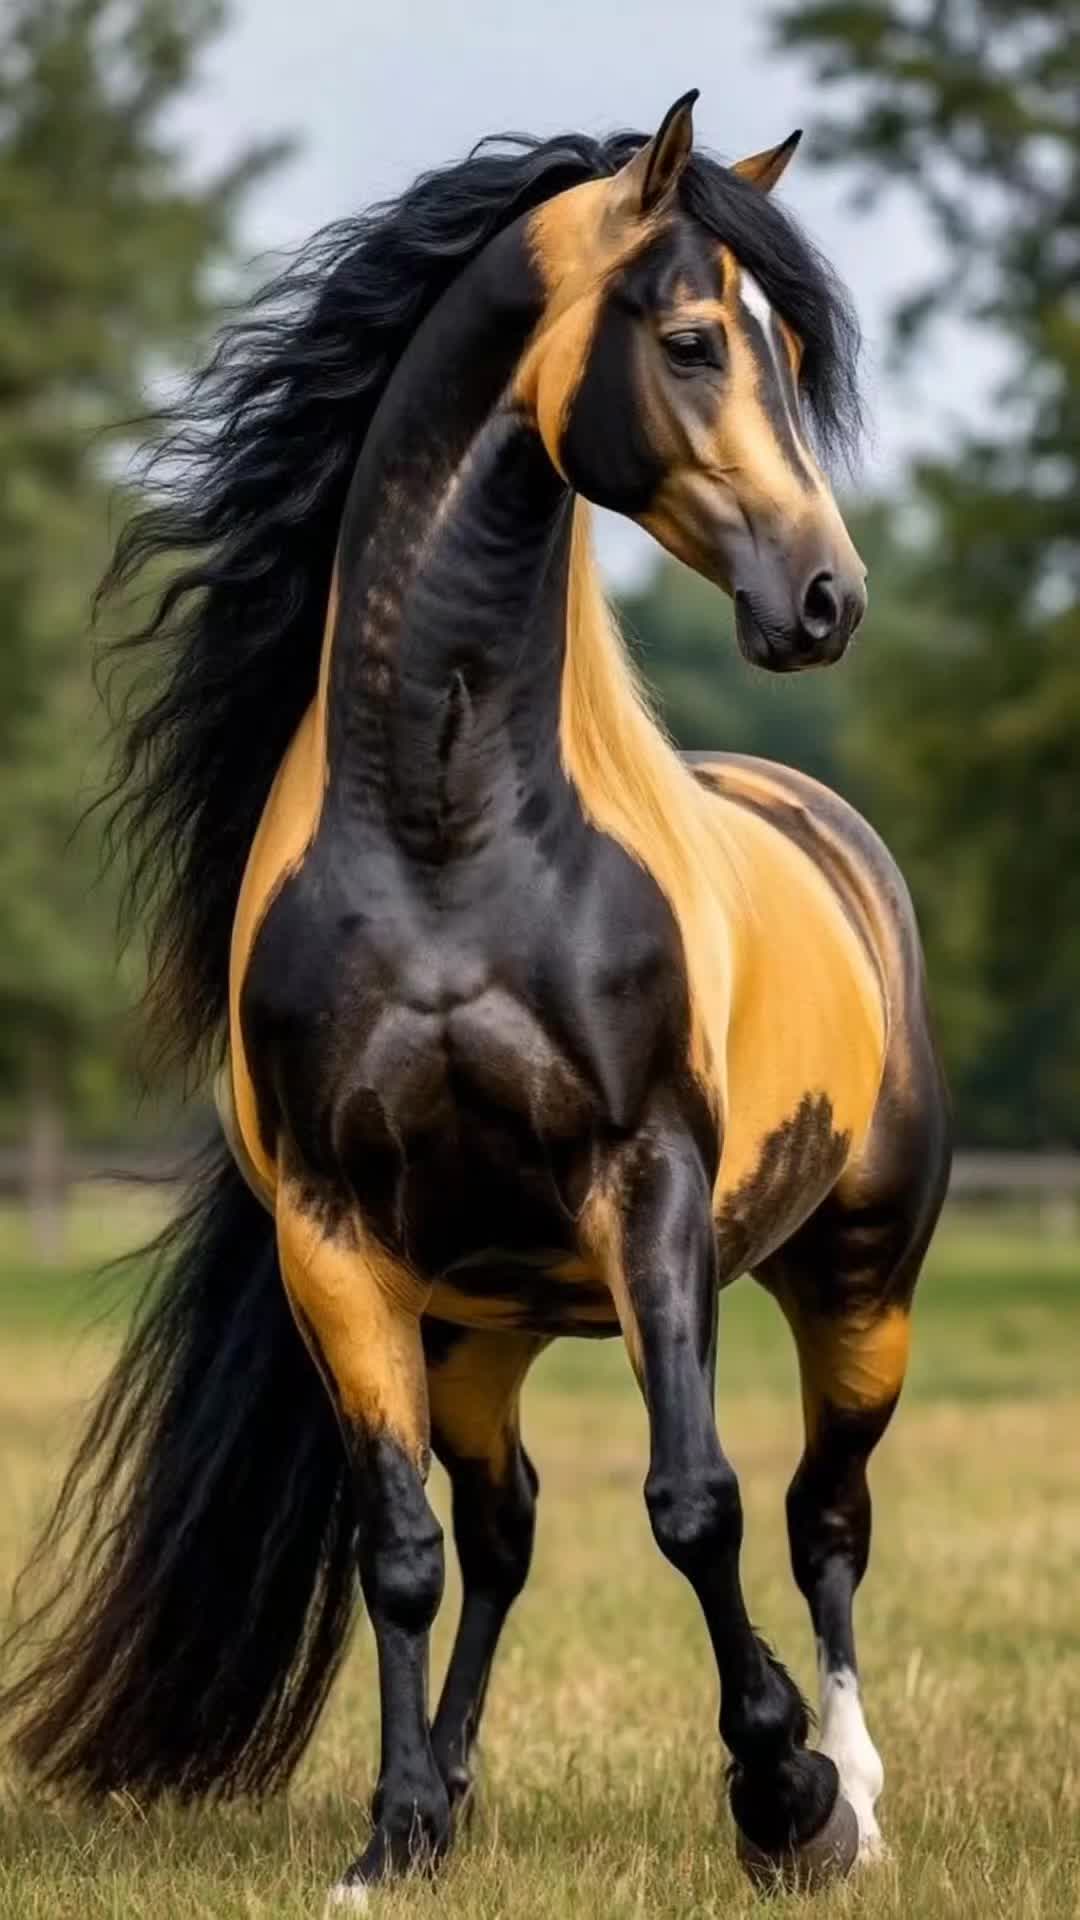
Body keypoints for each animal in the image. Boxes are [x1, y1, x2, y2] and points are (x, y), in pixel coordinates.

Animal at [1, 93, 950, 1904]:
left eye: (795, 351)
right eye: (693, 337)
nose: (829, 600)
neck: (452, 842)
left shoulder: (648, 1192)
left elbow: (697, 1502)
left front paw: (780, 1790)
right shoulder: (337, 1238)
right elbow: (407, 1550)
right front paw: (391, 1836)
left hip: (858, 1284)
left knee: (830, 1519)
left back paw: (859, 1797)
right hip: (480, 1328)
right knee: (505, 1533)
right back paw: (450, 1788)